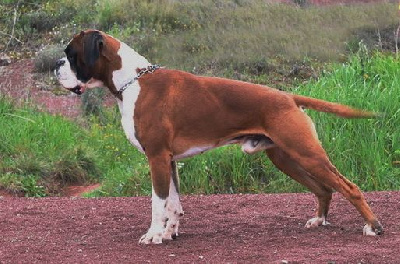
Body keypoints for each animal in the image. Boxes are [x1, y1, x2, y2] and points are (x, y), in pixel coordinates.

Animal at [54, 29, 382, 244]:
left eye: (70, 54)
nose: (55, 66)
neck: (132, 81)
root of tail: (288, 96)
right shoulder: (168, 161)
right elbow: (174, 202)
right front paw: (170, 233)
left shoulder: (156, 158)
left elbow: (157, 202)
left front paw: (154, 235)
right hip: (286, 158)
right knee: (323, 189)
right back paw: (320, 220)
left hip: (306, 154)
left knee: (349, 187)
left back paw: (373, 227)